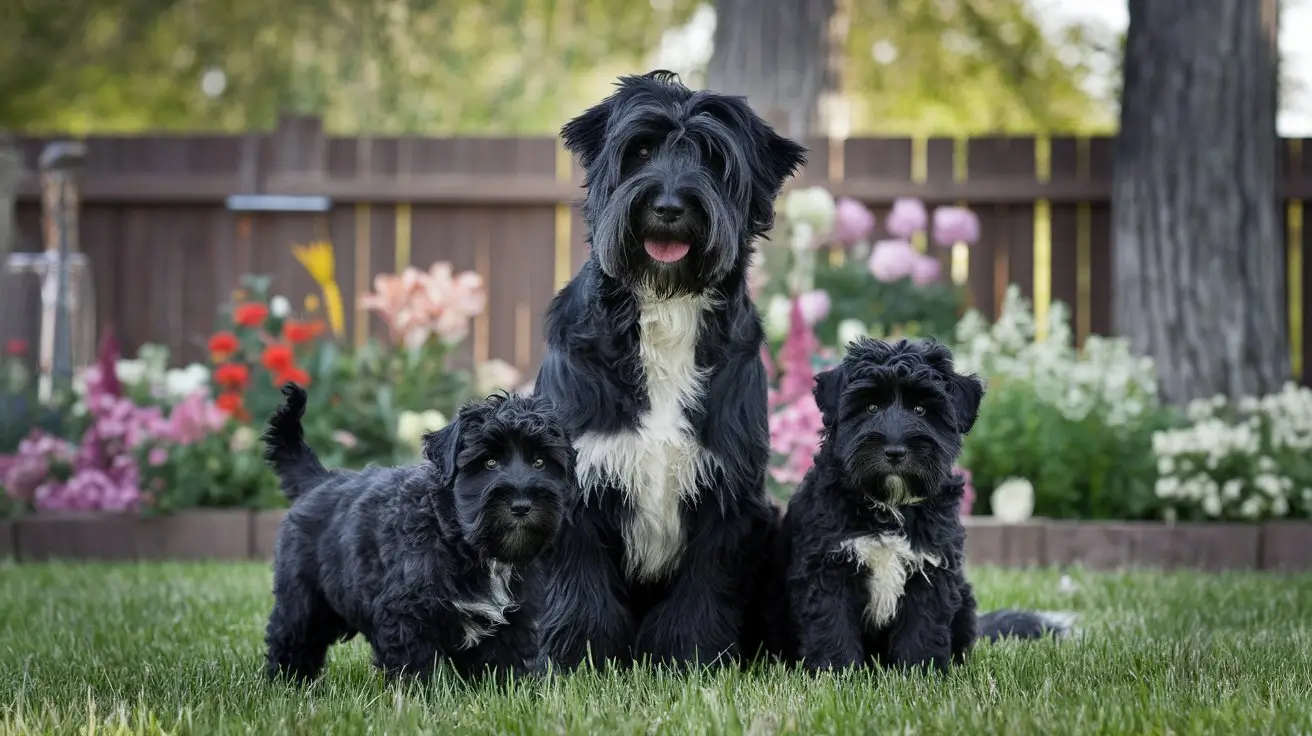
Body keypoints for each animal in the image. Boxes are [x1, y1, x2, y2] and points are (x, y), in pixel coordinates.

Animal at [262, 385, 574, 682]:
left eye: (540, 462)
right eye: (489, 463)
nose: (522, 504)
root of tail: (318, 480)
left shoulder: (514, 619)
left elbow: (507, 664)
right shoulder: (407, 615)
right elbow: (415, 667)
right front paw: (419, 697)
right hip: (302, 600)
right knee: (290, 639)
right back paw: (288, 682)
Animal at [532, 67, 808, 666]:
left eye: (712, 158)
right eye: (639, 150)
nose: (667, 205)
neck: (664, 306)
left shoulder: (728, 494)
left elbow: (704, 589)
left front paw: (690, 659)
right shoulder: (577, 486)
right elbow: (579, 587)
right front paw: (576, 659)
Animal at [766, 338, 1075, 671]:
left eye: (921, 409)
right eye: (870, 407)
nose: (895, 450)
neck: (889, 506)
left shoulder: (931, 568)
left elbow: (922, 627)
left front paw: (919, 672)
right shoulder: (827, 566)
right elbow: (832, 624)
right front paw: (837, 671)